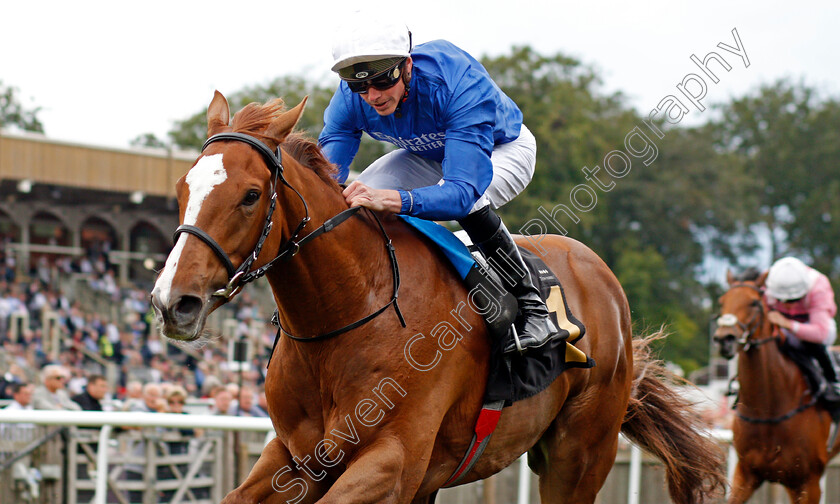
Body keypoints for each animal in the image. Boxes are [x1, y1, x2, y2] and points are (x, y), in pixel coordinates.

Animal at [154, 91, 724, 504]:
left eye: (251, 195)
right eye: (182, 187)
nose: (172, 302)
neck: (346, 315)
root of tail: (602, 277)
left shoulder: (394, 461)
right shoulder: (297, 456)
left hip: (580, 454)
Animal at [716, 272, 840, 504]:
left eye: (754, 302)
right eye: (722, 301)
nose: (723, 339)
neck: (769, 410)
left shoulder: (808, 482)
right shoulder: (745, 473)